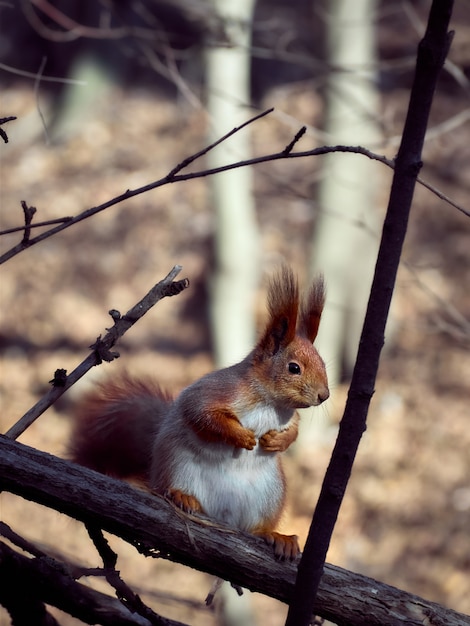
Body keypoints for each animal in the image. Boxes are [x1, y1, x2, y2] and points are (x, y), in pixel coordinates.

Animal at [69, 266, 330, 560]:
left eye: (323, 363)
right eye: (294, 368)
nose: (324, 395)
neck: (272, 404)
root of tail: (222, 515)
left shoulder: (290, 416)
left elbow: (293, 431)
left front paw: (278, 441)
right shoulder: (216, 392)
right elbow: (203, 415)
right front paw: (241, 436)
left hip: (269, 495)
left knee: (256, 529)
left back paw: (275, 536)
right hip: (177, 467)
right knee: (170, 489)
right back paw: (181, 496)